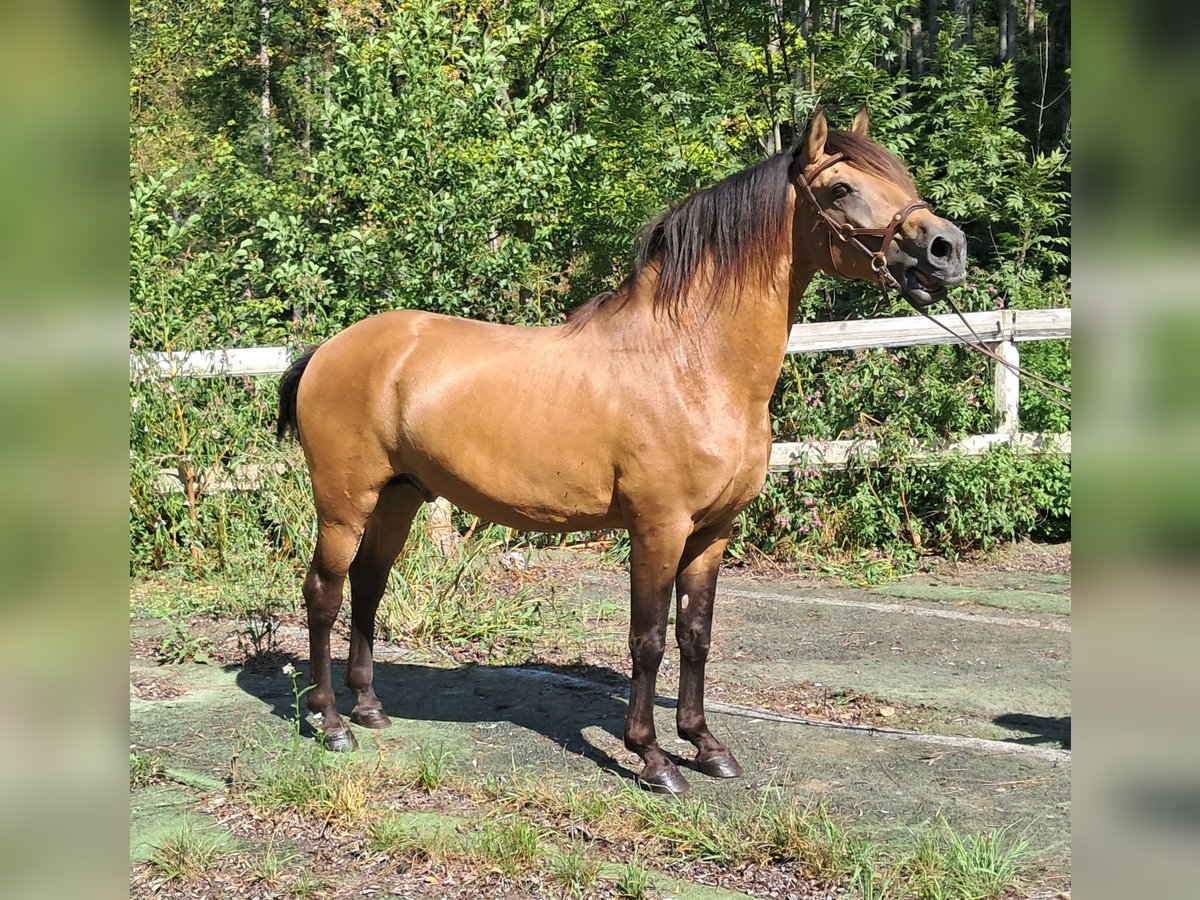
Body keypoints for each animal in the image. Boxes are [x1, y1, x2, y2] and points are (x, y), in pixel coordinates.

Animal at [274, 107, 964, 796]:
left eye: (899, 177)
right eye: (842, 189)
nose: (948, 249)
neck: (690, 363)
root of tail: (327, 349)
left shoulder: (712, 532)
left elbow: (695, 634)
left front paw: (706, 745)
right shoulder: (659, 526)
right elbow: (649, 637)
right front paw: (653, 758)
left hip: (398, 497)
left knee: (368, 585)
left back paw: (369, 708)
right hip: (344, 503)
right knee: (324, 592)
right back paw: (329, 722)